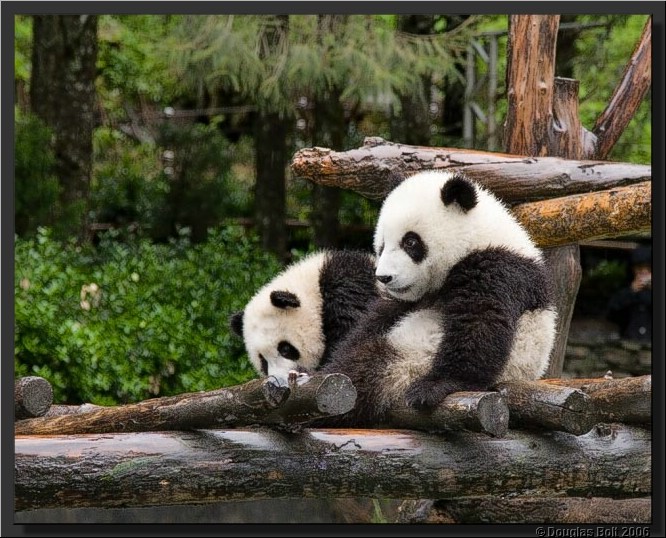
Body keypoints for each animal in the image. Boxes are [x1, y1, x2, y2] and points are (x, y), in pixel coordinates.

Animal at [320, 170, 557, 425]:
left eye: (410, 242)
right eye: (382, 245)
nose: (384, 277)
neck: (478, 236)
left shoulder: (498, 267)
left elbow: (480, 322)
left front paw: (434, 387)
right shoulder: (404, 302)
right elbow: (375, 321)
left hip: (407, 363)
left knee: (366, 369)